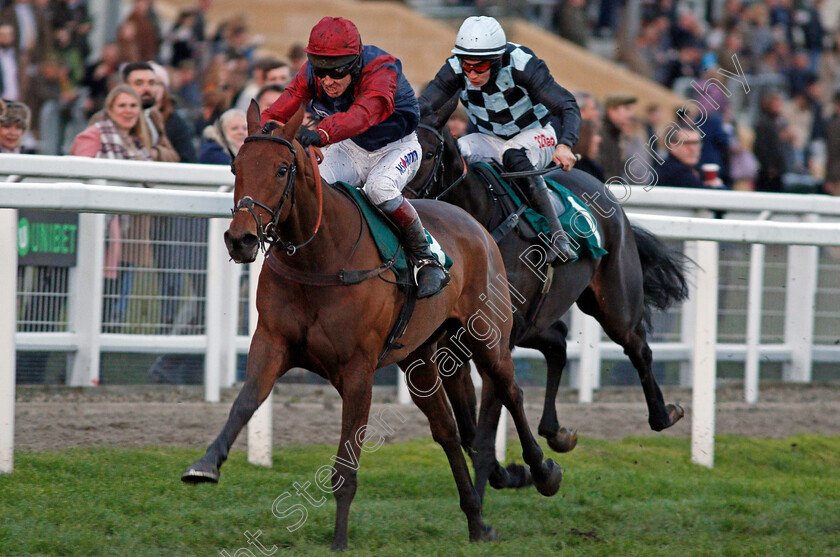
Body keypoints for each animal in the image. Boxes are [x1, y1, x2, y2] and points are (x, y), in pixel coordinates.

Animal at [184, 102, 564, 548]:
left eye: (281, 169)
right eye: (235, 166)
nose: (240, 239)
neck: (320, 257)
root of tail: (474, 224)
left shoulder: (357, 371)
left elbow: (347, 461)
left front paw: (339, 540)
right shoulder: (272, 342)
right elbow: (245, 403)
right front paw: (206, 464)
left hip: (486, 336)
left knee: (511, 391)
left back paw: (543, 471)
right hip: (419, 359)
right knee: (447, 430)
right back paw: (476, 520)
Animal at [406, 104, 688, 496]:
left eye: (430, 153)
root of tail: (600, 186)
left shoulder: (498, 340)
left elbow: (488, 422)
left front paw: (518, 476)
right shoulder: (455, 348)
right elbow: (470, 428)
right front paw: (510, 473)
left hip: (613, 302)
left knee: (638, 347)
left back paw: (664, 414)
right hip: (535, 320)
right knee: (557, 343)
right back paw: (556, 432)